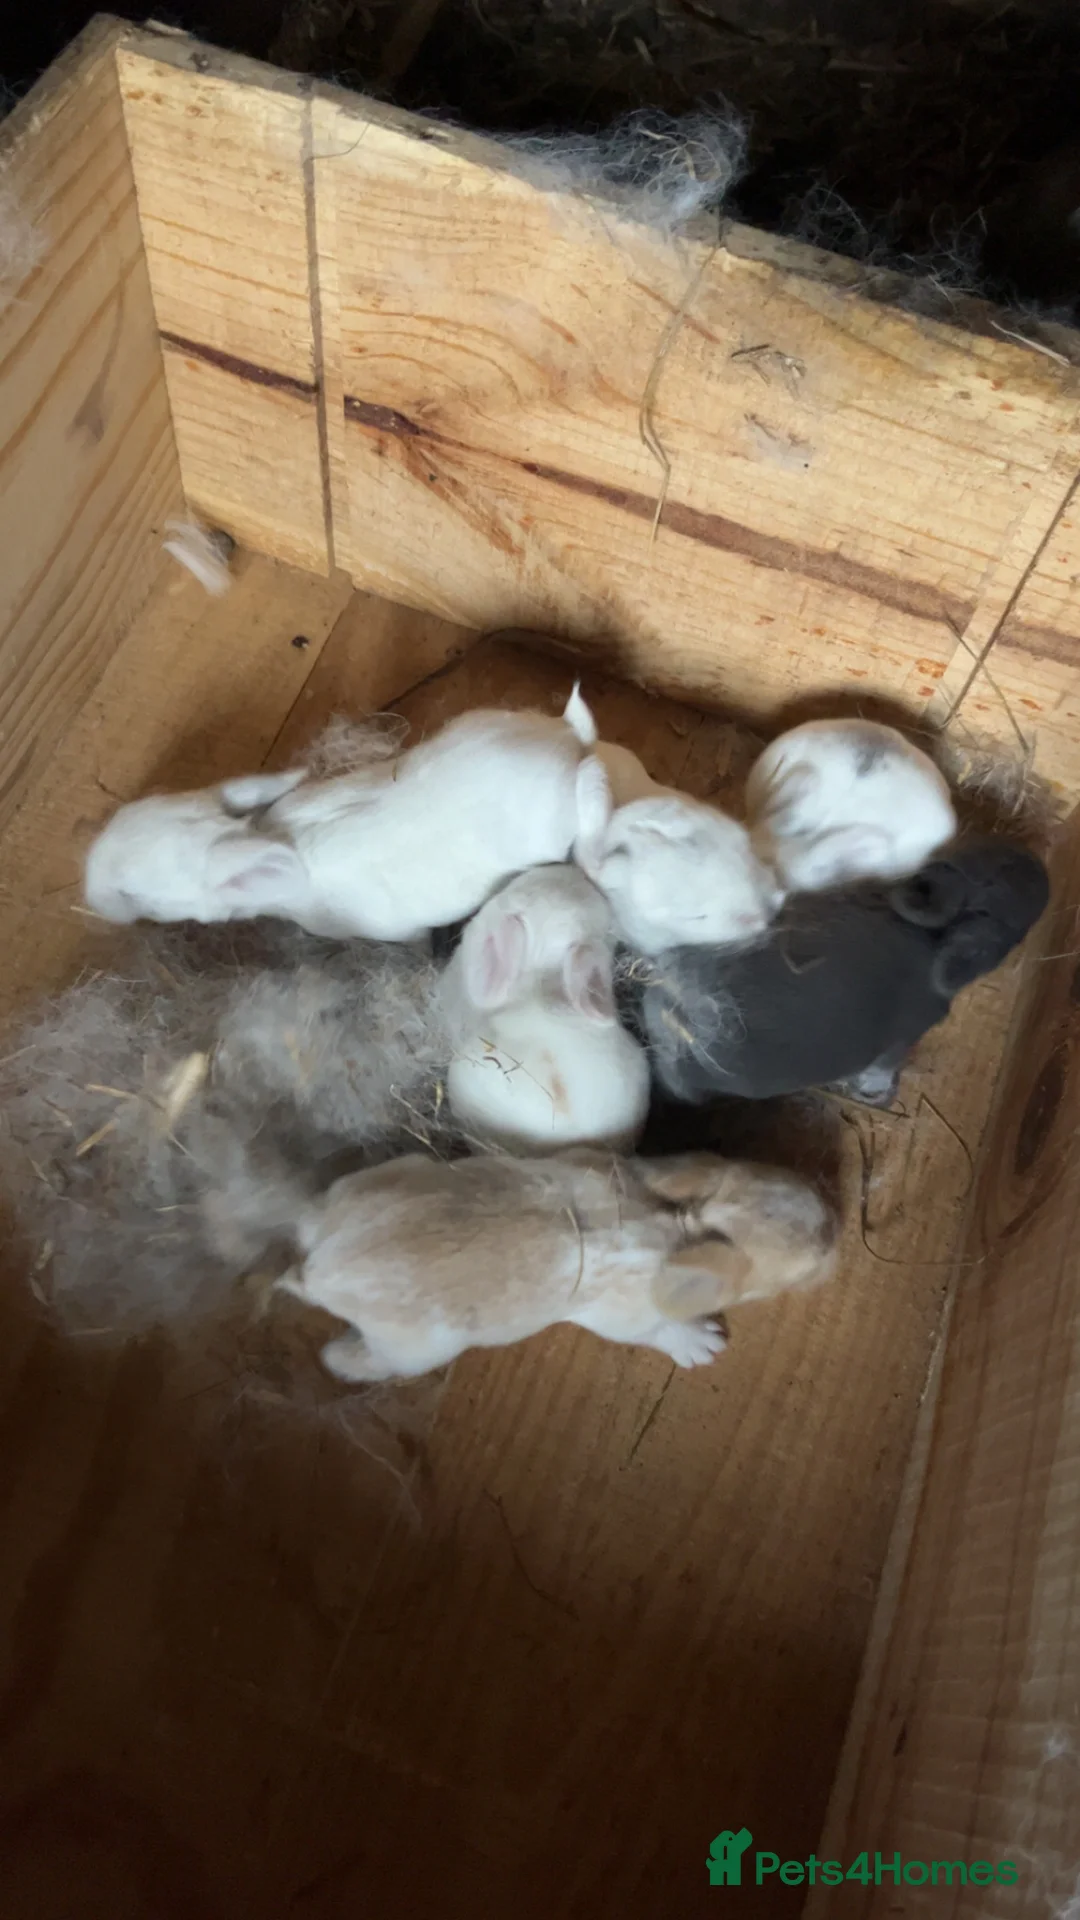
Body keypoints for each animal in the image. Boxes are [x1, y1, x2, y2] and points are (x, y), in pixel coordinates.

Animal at [278, 1146, 838, 1382]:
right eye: (813, 1261)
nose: (838, 1227)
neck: (680, 1223)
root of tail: (319, 1271)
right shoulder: (624, 1319)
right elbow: (661, 1332)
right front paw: (703, 1344)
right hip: (415, 1351)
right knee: (367, 1362)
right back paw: (337, 1359)